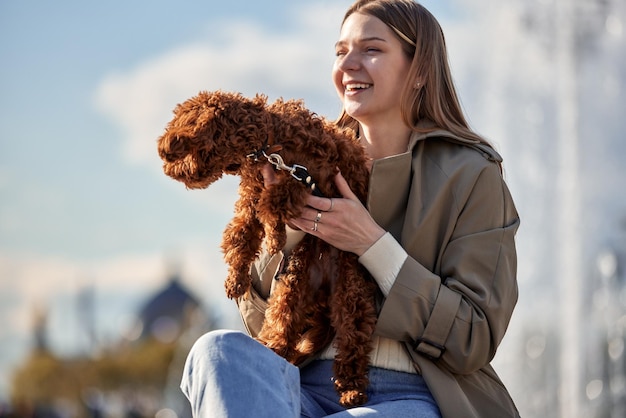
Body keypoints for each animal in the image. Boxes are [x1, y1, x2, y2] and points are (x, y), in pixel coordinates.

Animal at [158, 90, 378, 404]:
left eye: (180, 127)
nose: (163, 153)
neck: (267, 142)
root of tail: (323, 292)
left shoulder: (312, 176)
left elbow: (275, 202)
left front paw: (275, 235)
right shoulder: (251, 195)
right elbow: (241, 234)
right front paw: (237, 279)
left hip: (350, 290)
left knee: (352, 336)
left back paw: (352, 390)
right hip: (294, 287)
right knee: (283, 327)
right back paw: (268, 351)